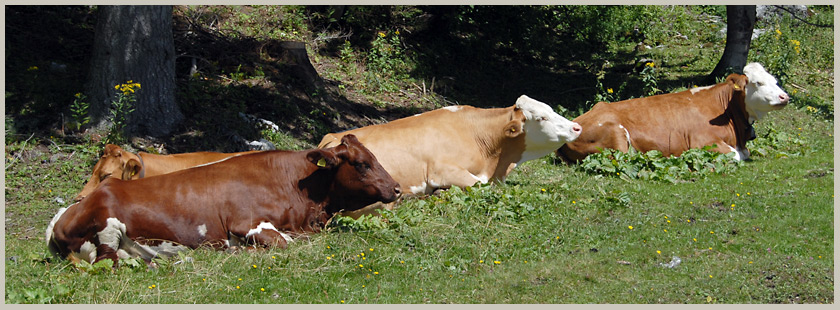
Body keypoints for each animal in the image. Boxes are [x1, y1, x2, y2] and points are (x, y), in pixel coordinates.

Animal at [46, 134, 400, 266]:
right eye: (362, 163)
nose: (396, 188)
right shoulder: (247, 224)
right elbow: (285, 242)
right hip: (106, 227)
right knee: (109, 261)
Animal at [318, 94, 580, 216]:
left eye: (551, 109)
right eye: (542, 118)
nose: (577, 127)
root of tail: (331, 138)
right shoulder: (441, 171)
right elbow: (477, 185)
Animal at [556, 61, 788, 161]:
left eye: (775, 81)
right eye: (758, 83)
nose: (784, 97)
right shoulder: (703, 142)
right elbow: (736, 155)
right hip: (617, 138)